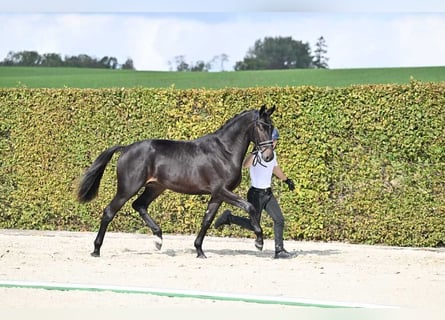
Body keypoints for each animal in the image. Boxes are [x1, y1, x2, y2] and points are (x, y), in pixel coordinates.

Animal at [78, 105, 276, 258]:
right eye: (261, 126)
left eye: (271, 126)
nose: (268, 156)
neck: (224, 151)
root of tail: (126, 148)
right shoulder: (222, 190)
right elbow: (250, 207)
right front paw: (259, 242)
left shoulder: (217, 195)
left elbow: (207, 220)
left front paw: (199, 251)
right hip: (128, 188)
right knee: (109, 212)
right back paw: (96, 250)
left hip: (155, 187)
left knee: (139, 205)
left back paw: (158, 240)